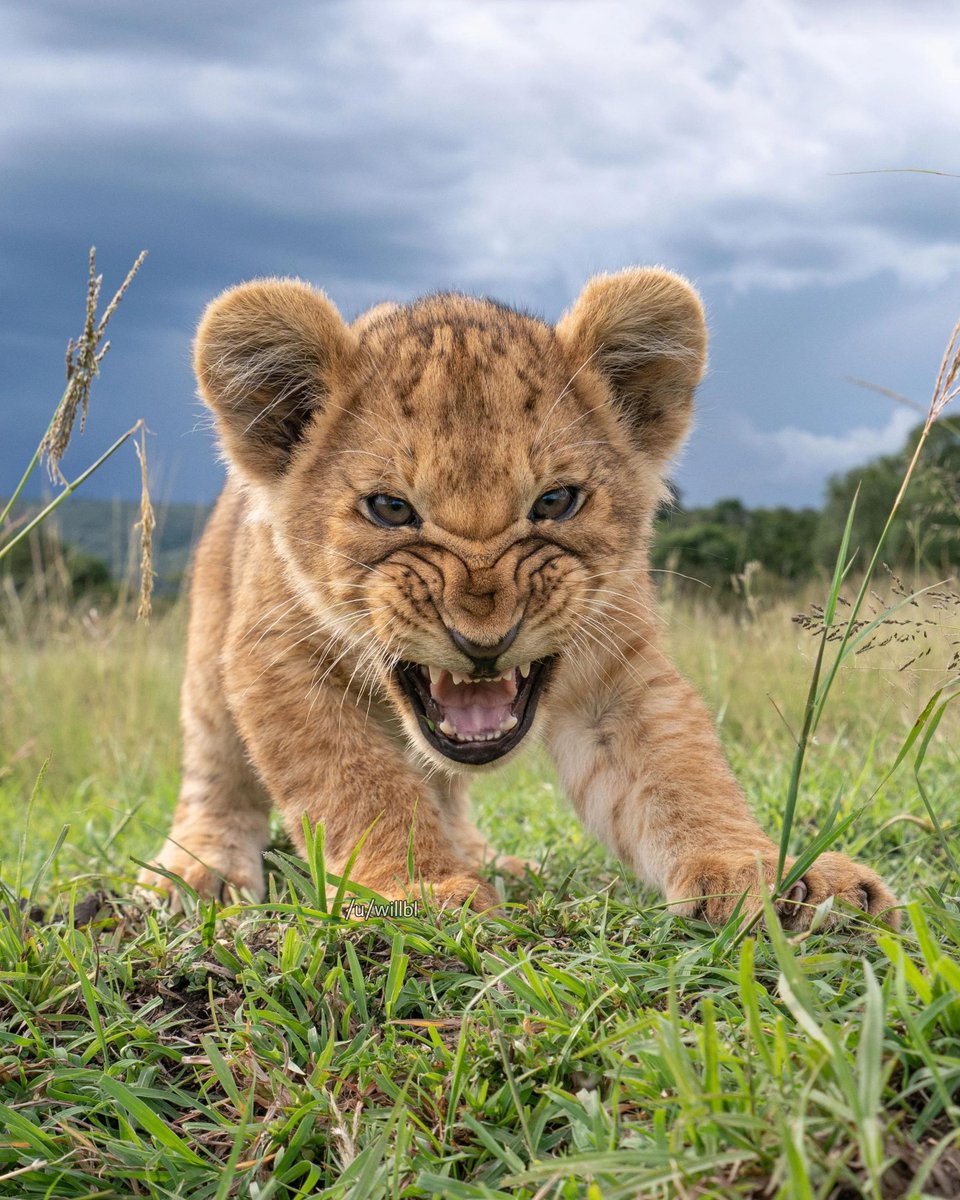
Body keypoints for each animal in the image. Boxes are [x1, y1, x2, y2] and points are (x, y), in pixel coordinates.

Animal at [138, 268, 898, 928]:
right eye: (390, 509)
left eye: (555, 502)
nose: (484, 639)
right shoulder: (278, 662)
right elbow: (359, 785)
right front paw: (419, 890)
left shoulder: (618, 669)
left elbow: (681, 773)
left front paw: (770, 872)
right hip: (211, 660)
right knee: (215, 773)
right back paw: (197, 871)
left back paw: (487, 857)